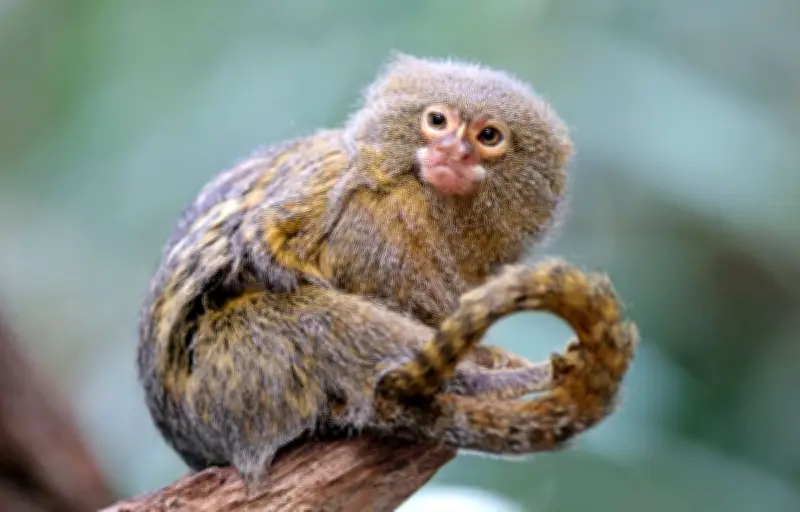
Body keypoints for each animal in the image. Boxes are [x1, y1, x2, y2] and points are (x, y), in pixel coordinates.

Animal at [136, 53, 638, 484]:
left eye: (489, 137)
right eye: (437, 121)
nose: (453, 151)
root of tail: (200, 450)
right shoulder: (371, 216)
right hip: (228, 385)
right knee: (311, 320)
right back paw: (492, 382)